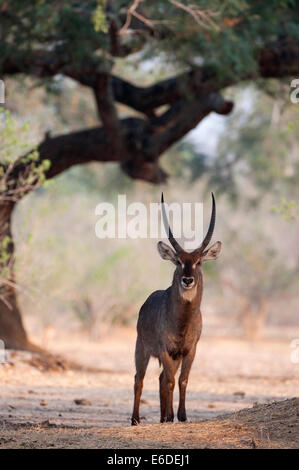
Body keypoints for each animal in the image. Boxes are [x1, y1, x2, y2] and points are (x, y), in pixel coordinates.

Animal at [132, 193, 223, 424]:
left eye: (199, 261)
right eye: (178, 261)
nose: (188, 280)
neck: (182, 321)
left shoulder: (189, 350)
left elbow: (182, 380)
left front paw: (181, 415)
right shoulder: (165, 350)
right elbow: (171, 381)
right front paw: (173, 416)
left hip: (172, 356)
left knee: (161, 378)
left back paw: (163, 417)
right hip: (142, 349)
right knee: (140, 379)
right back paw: (135, 419)